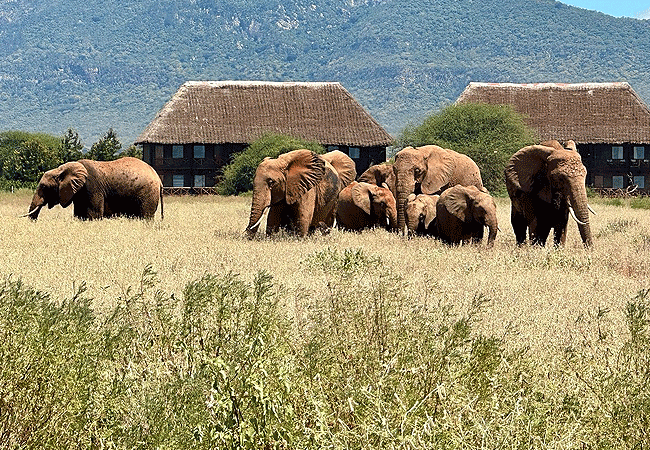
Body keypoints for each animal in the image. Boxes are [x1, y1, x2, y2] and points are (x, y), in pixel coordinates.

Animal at [27, 157, 163, 221]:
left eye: (44, 187)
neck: (62, 169)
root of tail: (158, 178)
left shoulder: (92, 187)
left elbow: (94, 214)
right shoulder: (79, 192)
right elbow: (79, 214)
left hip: (148, 194)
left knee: (145, 216)